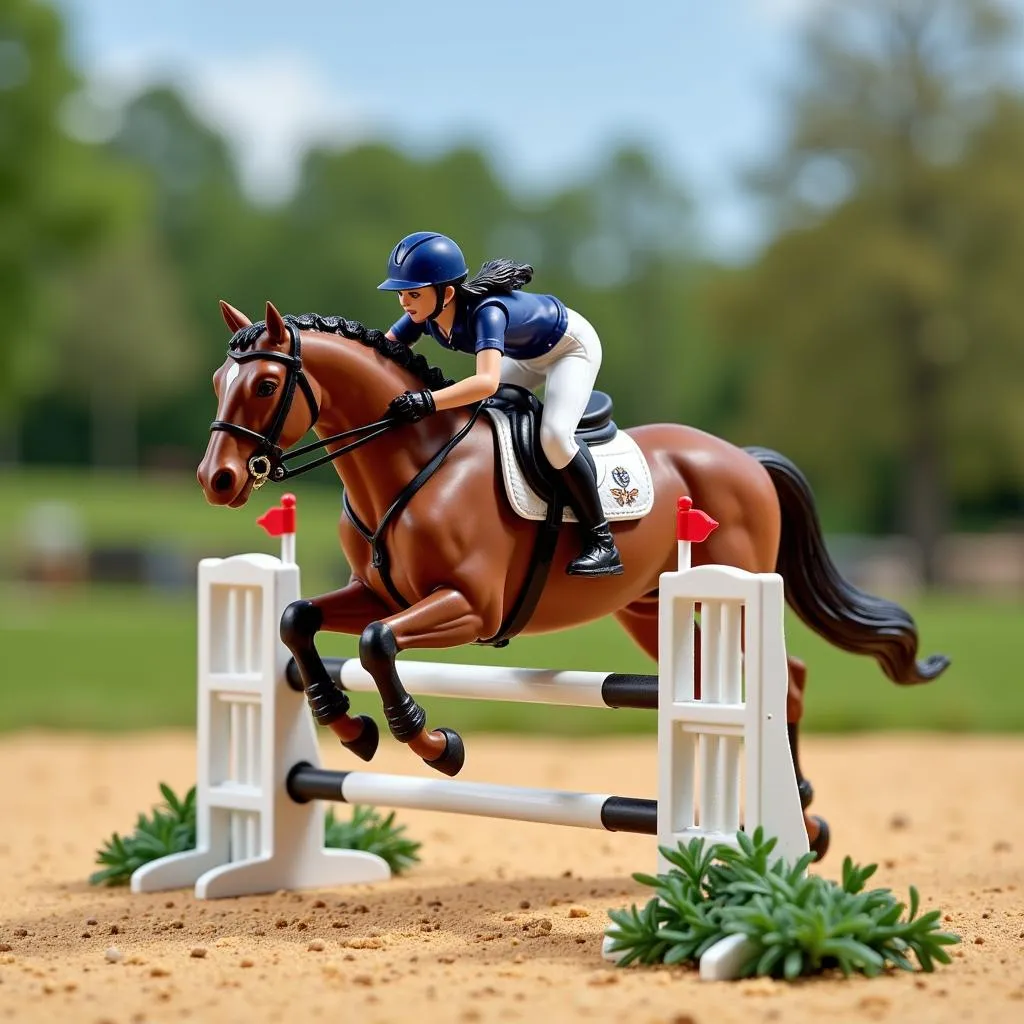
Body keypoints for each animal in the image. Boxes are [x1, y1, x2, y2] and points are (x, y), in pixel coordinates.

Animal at [195, 301, 946, 856]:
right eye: (216, 385)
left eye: (266, 385)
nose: (217, 480)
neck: (413, 462)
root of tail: (743, 457)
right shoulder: (379, 593)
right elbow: (299, 620)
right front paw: (347, 727)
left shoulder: (470, 607)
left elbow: (378, 643)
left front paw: (436, 747)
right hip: (649, 611)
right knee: (744, 679)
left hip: (731, 584)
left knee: (786, 679)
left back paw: (804, 822)